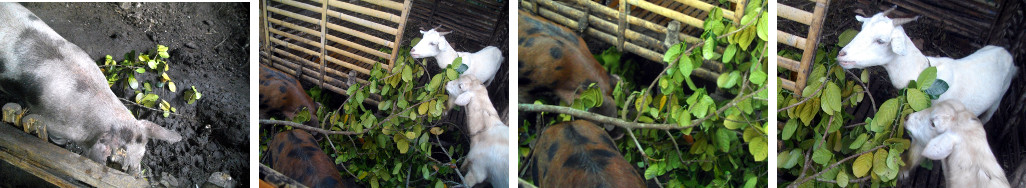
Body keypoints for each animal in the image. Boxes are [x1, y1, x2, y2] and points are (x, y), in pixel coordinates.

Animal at [833, 5, 1017, 122]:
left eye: (881, 40)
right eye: (862, 28)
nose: (842, 54)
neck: (923, 72)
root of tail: (1005, 52)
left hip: (998, 98)